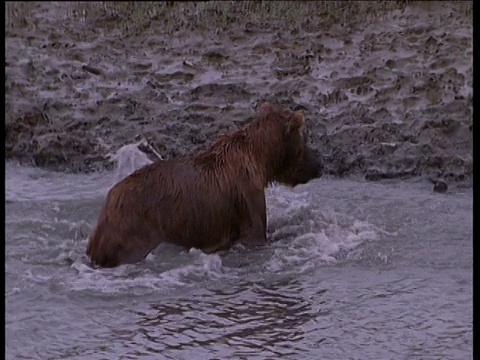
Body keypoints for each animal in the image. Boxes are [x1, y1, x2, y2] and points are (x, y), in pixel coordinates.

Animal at [87, 102, 322, 268]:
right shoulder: (246, 196)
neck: (259, 161)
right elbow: (254, 234)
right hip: (138, 228)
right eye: (303, 138)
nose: (319, 163)